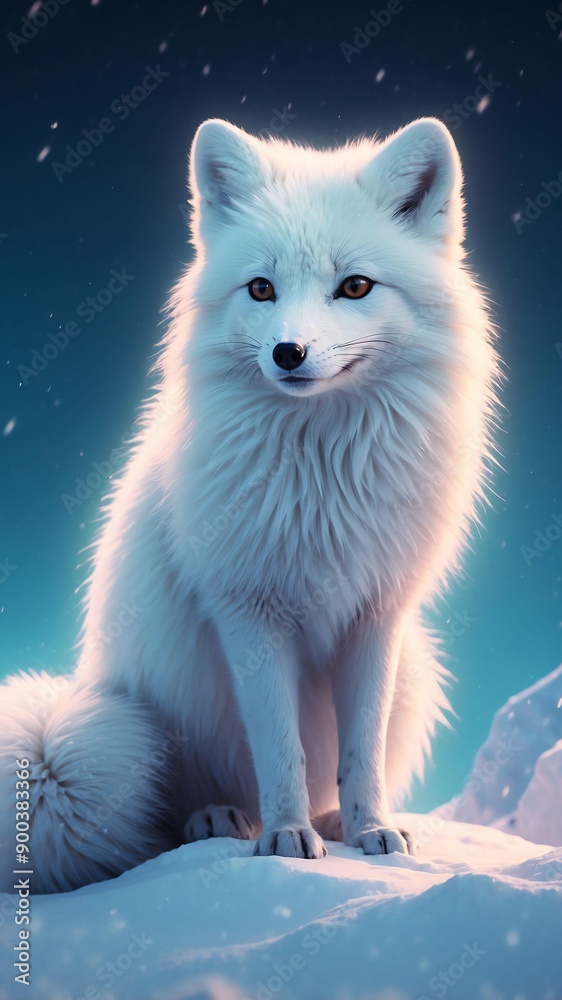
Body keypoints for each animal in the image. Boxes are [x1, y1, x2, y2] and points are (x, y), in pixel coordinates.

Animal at [0, 116, 500, 892]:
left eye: (355, 286)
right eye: (261, 288)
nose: (288, 352)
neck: (323, 471)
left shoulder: (378, 613)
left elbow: (360, 750)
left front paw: (370, 832)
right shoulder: (249, 611)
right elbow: (280, 747)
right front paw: (287, 840)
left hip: (414, 670)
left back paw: (330, 820)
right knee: (175, 814)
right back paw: (219, 819)